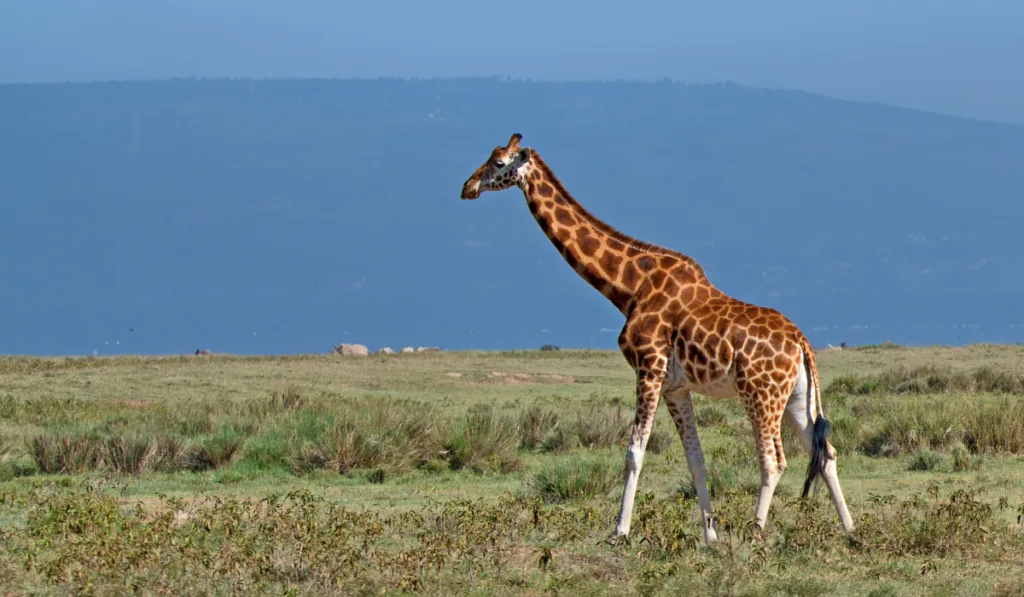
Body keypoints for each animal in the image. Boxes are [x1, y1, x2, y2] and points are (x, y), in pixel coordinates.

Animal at [458, 133, 856, 544]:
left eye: (499, 163)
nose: (467, 188)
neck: (629, 287)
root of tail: (801, 343)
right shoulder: (675, 387)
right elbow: (695, 459)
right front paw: (710, 536)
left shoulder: (648, 369)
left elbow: (634, 452)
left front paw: (619, 532)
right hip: (795, 397)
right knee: (826, 452)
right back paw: (851, 532)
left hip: (760, 393)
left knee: (774, 460)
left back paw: (755, 535)